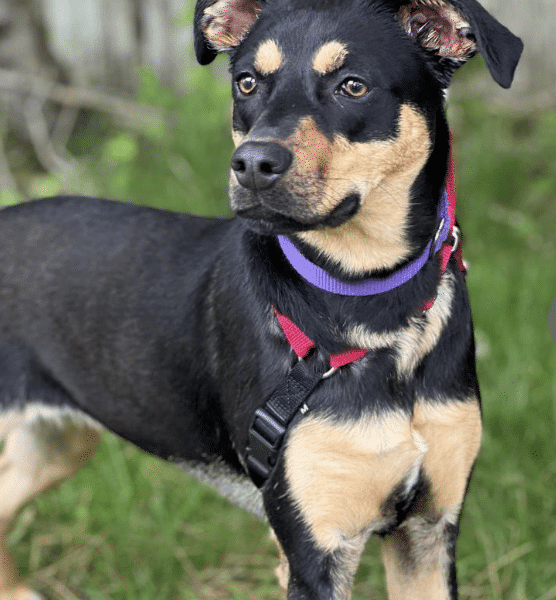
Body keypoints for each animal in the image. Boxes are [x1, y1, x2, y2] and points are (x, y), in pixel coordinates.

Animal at [0, 1, 520, 600]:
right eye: (246, 82)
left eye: (353, 85)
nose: (251, 165)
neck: (371, 301)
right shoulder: (315, 549)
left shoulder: (429, 531)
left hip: (55, 443)